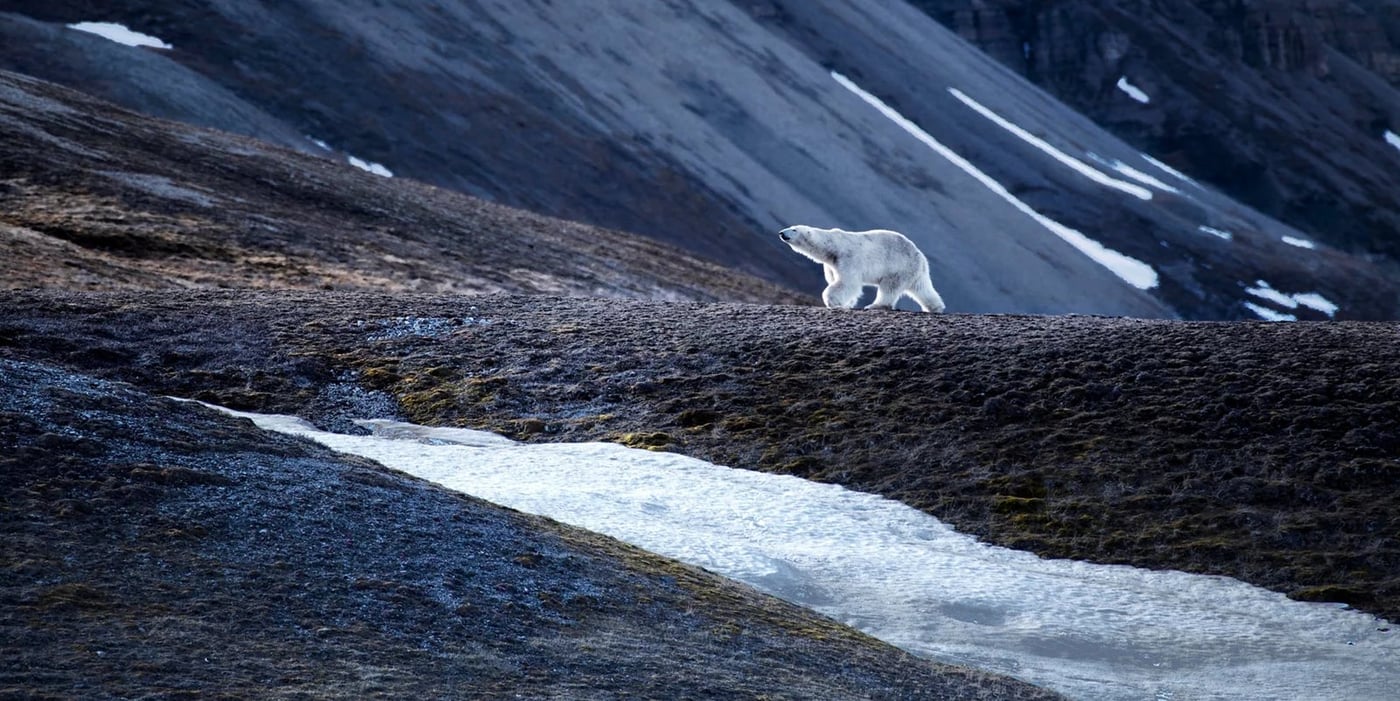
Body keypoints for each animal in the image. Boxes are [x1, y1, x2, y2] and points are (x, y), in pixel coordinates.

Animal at [778, 225, 946, 313]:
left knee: (889, 288)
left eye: (794, 229)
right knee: (922, 288)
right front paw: (847, 303)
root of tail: (920, 256)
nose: (781, 233)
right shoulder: (831, 264)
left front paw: (833, 302)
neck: (833, 246)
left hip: (899, 267)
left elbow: (848, 283)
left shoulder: (848, 258)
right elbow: (838, 281)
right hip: (914, 271)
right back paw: (936, 307)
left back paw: (875, 305)